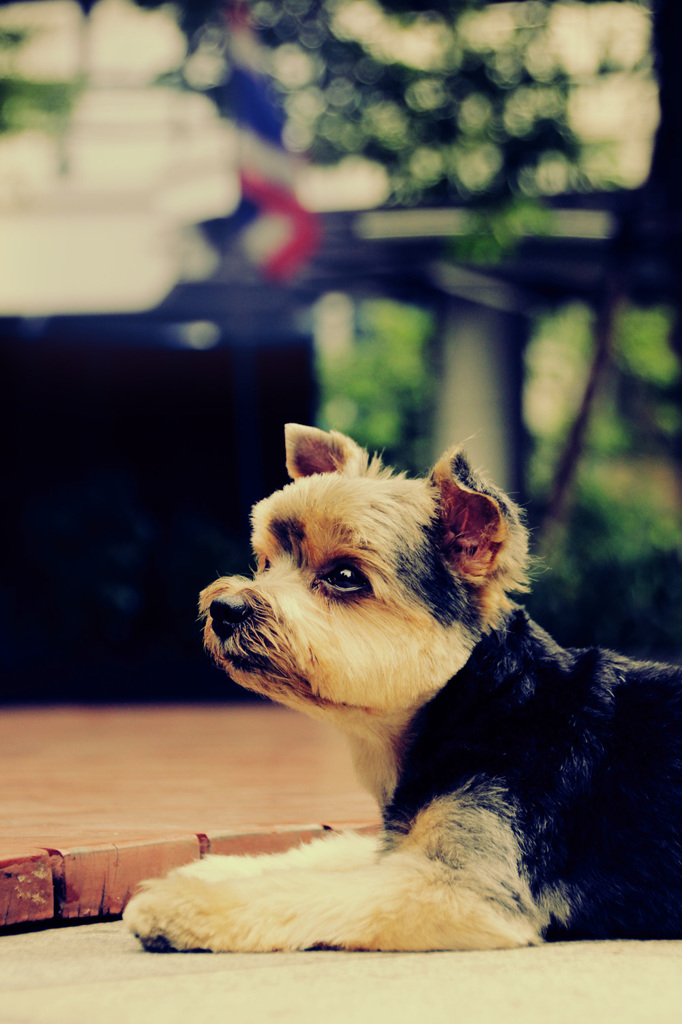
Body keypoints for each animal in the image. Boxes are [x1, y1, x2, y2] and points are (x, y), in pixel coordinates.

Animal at [122, 423, 679, 950]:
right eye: (264, 562)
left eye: (344, 576)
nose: (224, 609)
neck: (481, 702)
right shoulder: (404, 843)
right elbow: (331, 851)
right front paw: (213, 869)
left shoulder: (459, 885)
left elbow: (308, 889)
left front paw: (185, 903)